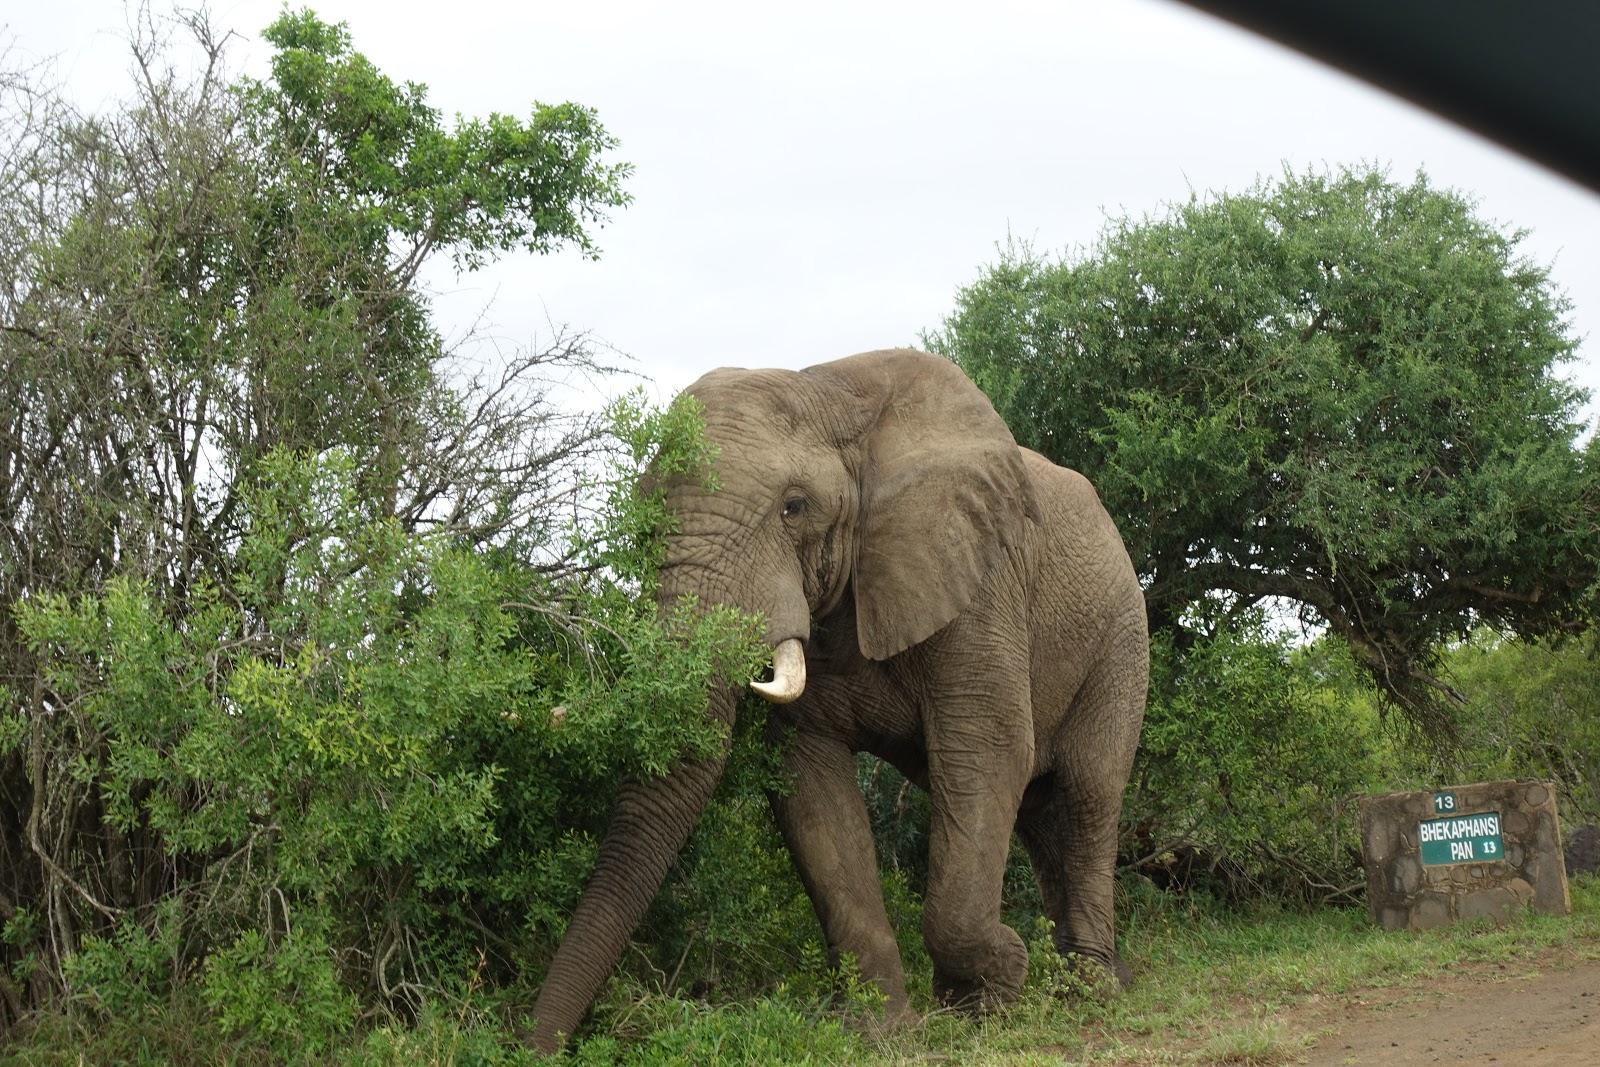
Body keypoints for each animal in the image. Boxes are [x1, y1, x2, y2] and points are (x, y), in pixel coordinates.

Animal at [528, 348, 1147, 1053]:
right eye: (644, 517)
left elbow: (987, 750)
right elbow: (815, 796)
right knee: (1040, 811)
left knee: (1088, 792)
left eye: (794, 507)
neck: (831, 391)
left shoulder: (979, 583)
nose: (530, 1045)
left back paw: (1088, 990)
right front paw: (885, 1029)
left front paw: (992, 993)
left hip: (1120, 639)